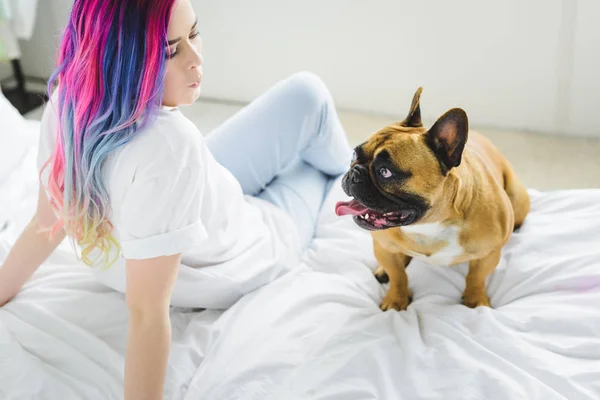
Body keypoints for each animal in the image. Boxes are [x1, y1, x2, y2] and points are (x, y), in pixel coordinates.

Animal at [338, 89, 528, 310]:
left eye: (385, 172)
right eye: (354, 154)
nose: (353, 173)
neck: (430, 225)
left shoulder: (489, 254)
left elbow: (476, 277)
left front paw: (475, 301)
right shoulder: (384, 248)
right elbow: (398, 275)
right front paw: (396, 300)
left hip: (517, 199)